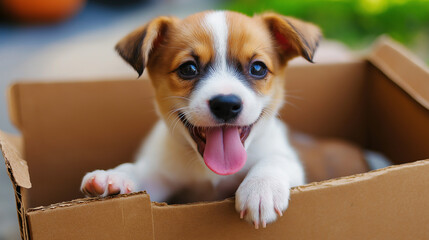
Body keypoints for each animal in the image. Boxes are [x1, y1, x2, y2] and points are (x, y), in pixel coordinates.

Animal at [81, 10, 320, 229]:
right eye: (188, 68)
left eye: (258, 68)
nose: (226, 104)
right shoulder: (162, 178)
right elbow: (140, 172)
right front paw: (114, 176)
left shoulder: (289, 162)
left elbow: (277, 159)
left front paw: (261, 188)